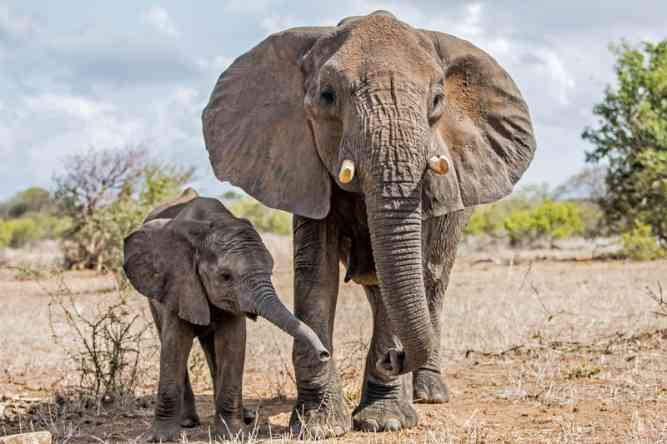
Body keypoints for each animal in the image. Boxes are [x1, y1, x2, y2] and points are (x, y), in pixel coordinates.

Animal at [122, 188, 330, 441]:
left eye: (270, 270)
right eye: (225, 276)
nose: (324, 354)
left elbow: (232, 343)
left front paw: (233, 434)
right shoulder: (179, 281)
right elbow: (175, 345)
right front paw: (160, 438)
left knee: (212, 351)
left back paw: (245, 417)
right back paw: (188, 422)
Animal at [202, 11, 536, 436]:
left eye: (437, 100)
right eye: (327, 96)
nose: (393, 358)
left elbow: (412, 264)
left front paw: (385, 421)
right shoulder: (303, 167)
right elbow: (316, 271)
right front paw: (319, 426)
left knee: (431, 278)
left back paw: (428, 393)